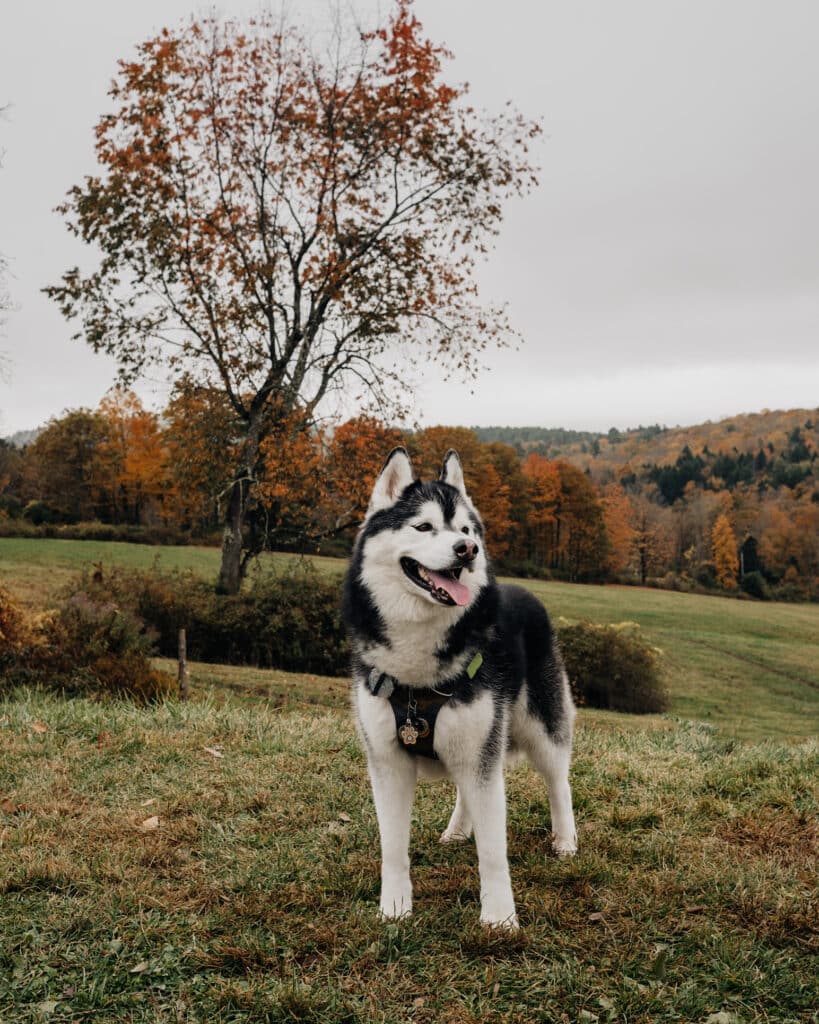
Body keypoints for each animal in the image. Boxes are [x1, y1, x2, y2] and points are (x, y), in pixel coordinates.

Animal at [339, 448, 577, 929]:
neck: (417, 673)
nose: (468, 550)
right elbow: (393, 847)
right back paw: (458, 829)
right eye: (423, 527)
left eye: (465, 531)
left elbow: (494, 852)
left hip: (539, 725)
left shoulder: (482, 751)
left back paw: (565, 839)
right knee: (469, 788)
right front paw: (395, 908)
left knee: (558, 780)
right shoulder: (388, 762)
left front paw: (500, 918)